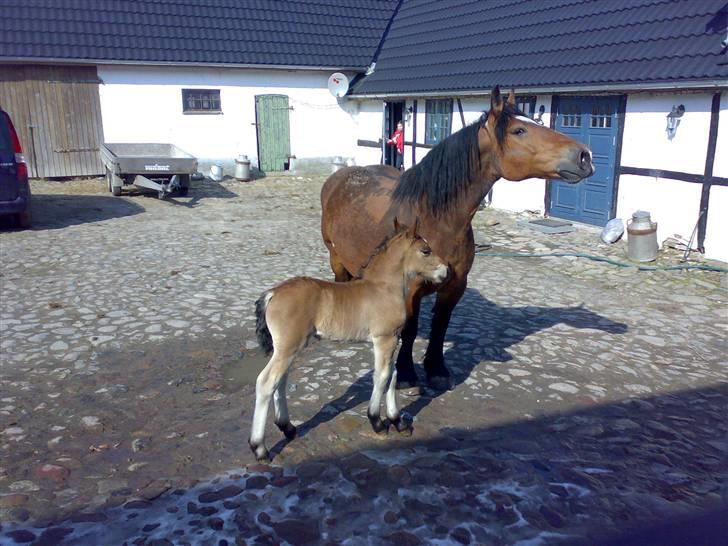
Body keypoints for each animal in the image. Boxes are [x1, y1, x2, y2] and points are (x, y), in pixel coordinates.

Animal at [249, 219, 450, 462]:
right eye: (426, 250)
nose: (446, 271)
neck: (383, 288)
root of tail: (273, 293)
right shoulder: (385, 339)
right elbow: (382, 376)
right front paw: (378, 422)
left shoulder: (390, 341)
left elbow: (392, 375)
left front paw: (398, 422)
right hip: (288, 347)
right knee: (266, 382)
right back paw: (260, 448)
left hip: (288, 349)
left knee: (281, 380)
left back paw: (288, 428)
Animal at [322, 86, 596, 392]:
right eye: (519, 130)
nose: (585, 156)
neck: (435, 219)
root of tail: (341, 176)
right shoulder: (411, 289)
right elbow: (411, 329)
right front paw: (406, 374)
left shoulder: (455, 285)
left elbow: (440, 325)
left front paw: (437, 369)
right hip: (336, 258)